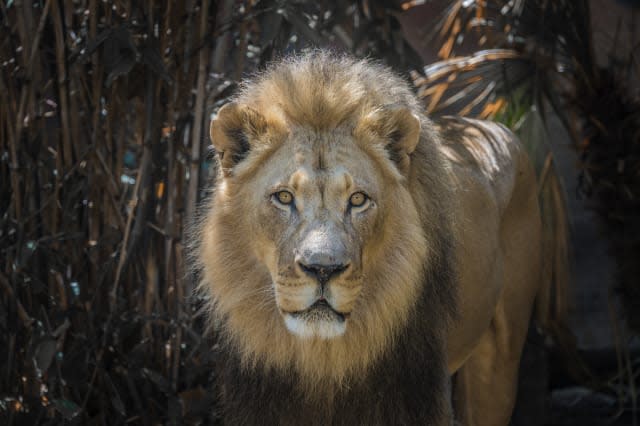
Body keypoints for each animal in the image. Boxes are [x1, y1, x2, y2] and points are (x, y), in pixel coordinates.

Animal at [195, 50, 564, 426]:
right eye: (284, 197)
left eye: (358, 199)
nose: (323, 270)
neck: (322, 359)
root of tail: (496, 128)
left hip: (500, 357)